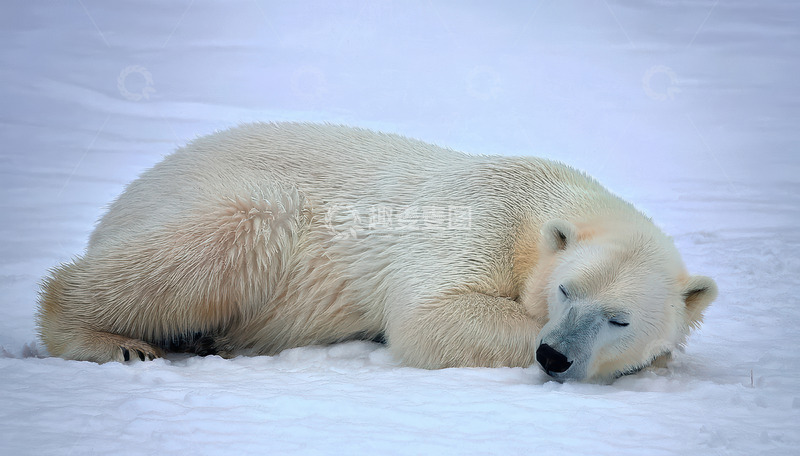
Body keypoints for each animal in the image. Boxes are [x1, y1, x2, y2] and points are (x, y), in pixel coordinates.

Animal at [37, 122, 717, 383]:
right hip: (227, 198)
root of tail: (128, 196)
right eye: (564, 290)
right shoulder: (474, 221)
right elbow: (429, 317)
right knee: (233, 232)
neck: (538, 200)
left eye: (619, 318)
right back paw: (117, 342)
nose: (553, 355)